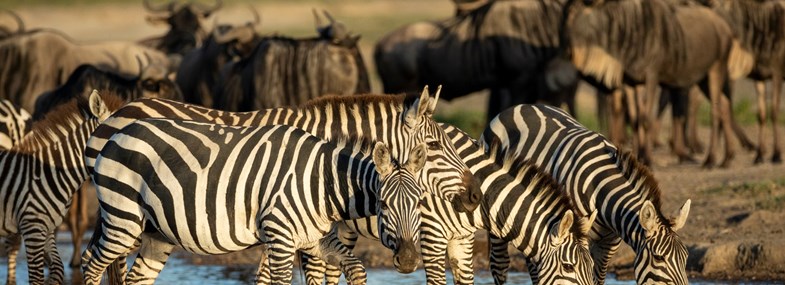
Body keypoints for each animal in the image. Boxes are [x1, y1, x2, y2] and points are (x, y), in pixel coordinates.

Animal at [81, 118, 428, 284]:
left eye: (419, 204)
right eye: (384, 205)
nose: (410, 261)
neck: (322, 183)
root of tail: (117, 133)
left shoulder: (315, 239)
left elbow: (356, 269)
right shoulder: (280, 237)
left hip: (156, 232)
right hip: (123, 219)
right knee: (89, 263)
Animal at [480, 103, 688, 284]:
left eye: (685, 257)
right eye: (659, 257)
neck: (601, 193)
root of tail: (517, 107)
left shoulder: (609, 243)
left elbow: (597, 277)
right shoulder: (578, 236)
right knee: (499, 265)